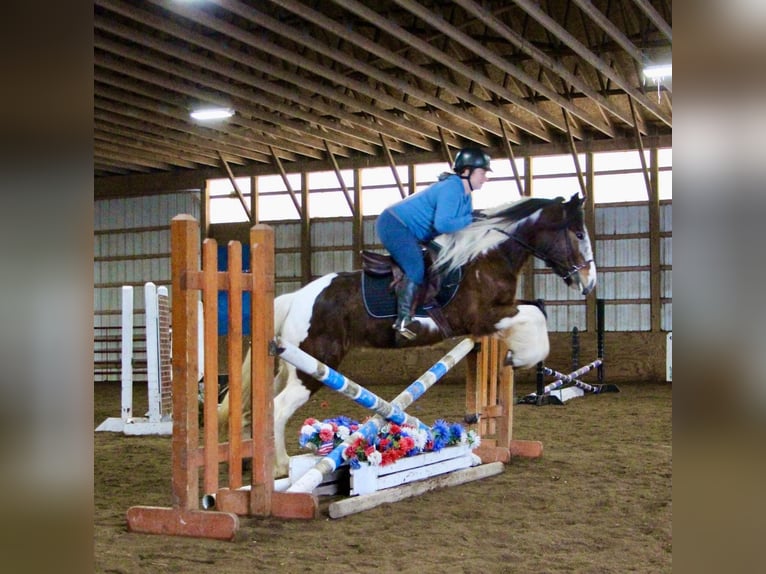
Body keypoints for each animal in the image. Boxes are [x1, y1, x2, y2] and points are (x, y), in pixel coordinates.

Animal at [219, 194, 596, 476]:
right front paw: (521, 357)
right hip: (314, 366)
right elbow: (535, 316)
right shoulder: (482, 317)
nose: (589, 282)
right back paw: (280, 467)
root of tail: (296, 298)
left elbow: (535, 310)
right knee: (279, 408)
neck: (484, 257)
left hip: (296, 365)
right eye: (578, 234)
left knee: (269, 403)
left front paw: (516, 354)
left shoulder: (498, 312)